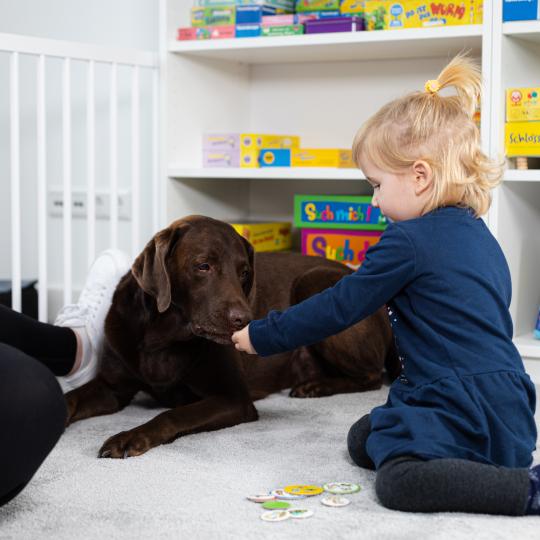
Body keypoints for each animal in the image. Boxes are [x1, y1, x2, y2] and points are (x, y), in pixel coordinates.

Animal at [65, 213, 398, 458]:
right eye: (203, 266)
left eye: (244, 272)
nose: (244, 320)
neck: (163, 337)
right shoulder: (113, 388)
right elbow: (70, 398)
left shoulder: (233, 399)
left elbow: (173, 415)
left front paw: (130, 437)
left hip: (315, 284)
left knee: (372, 376)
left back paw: (315, 387)